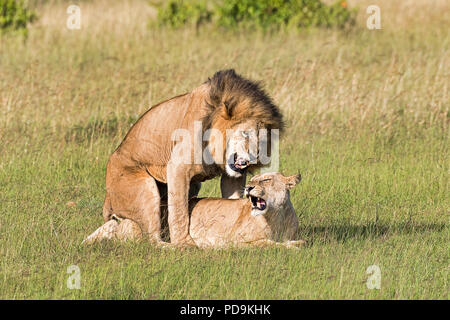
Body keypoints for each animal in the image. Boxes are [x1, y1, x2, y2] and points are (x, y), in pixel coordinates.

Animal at [83, 172, 306, 248]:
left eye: (266, 180)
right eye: (251, 180)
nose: (249, 188)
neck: (276, 216)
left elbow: (301, 242)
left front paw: (294, 244)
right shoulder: (237, 241)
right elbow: (267, 244)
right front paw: (288, 247)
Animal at [103, 69, 284, 246]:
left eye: (262, 141)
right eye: (245, 133)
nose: (254, 156)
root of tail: (107, 199)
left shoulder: (232, 177)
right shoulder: (177, 167)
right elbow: (179, 212)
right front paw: (185, 242)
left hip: (193, 185)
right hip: (145, 189)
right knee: (152, 240)